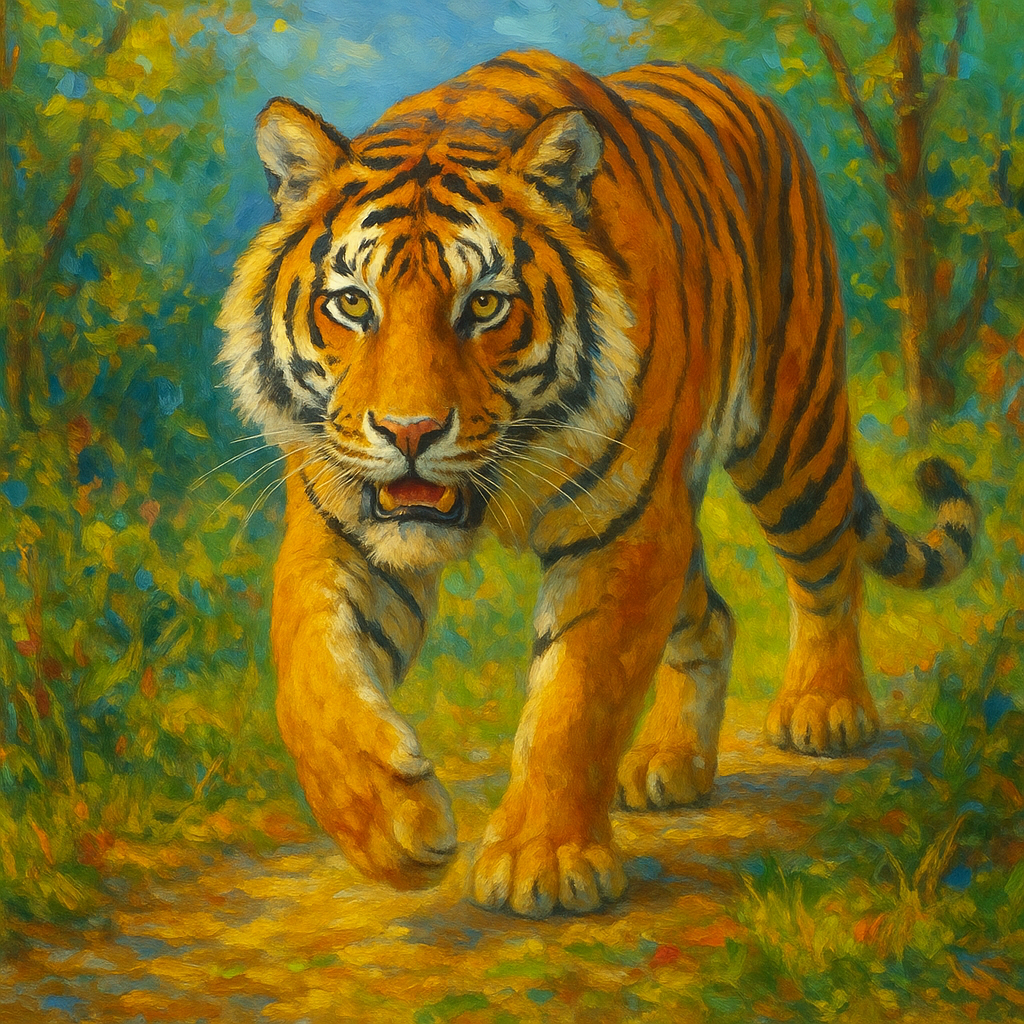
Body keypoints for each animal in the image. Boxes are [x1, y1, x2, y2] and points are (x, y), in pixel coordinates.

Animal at [217, 49, 978, 917]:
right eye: (351, 304)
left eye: (485, 305)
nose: (410, 432)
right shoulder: (340, 526)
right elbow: (312, 676)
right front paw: (392, 828)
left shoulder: (622, 533)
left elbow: (575, 699)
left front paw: (542, 863)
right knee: (712, 616)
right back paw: (670, 763)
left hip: (792, 429)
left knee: (828, 569)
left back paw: (826, 708)